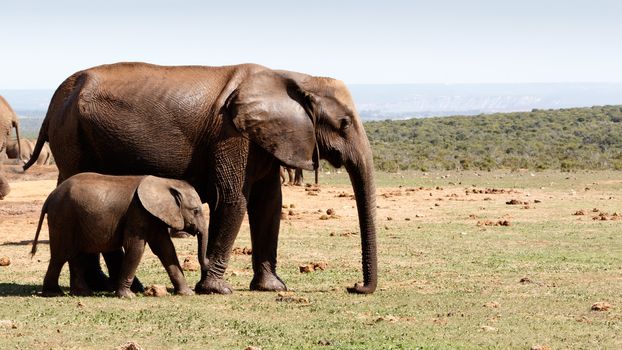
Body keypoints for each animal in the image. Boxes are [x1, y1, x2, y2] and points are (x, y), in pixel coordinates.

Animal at [31, 173, 208, 298]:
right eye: (195, 211)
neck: (165, 182)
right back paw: (54, 293)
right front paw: (128, 296)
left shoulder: (154, 216)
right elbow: (136, 248)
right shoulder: (138, 212)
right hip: (63, 217)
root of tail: (50, 196)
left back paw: (81, 293)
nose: (206, 264)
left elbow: (166, 249)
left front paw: (187, 294)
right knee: (61, 255)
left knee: (75, 255)